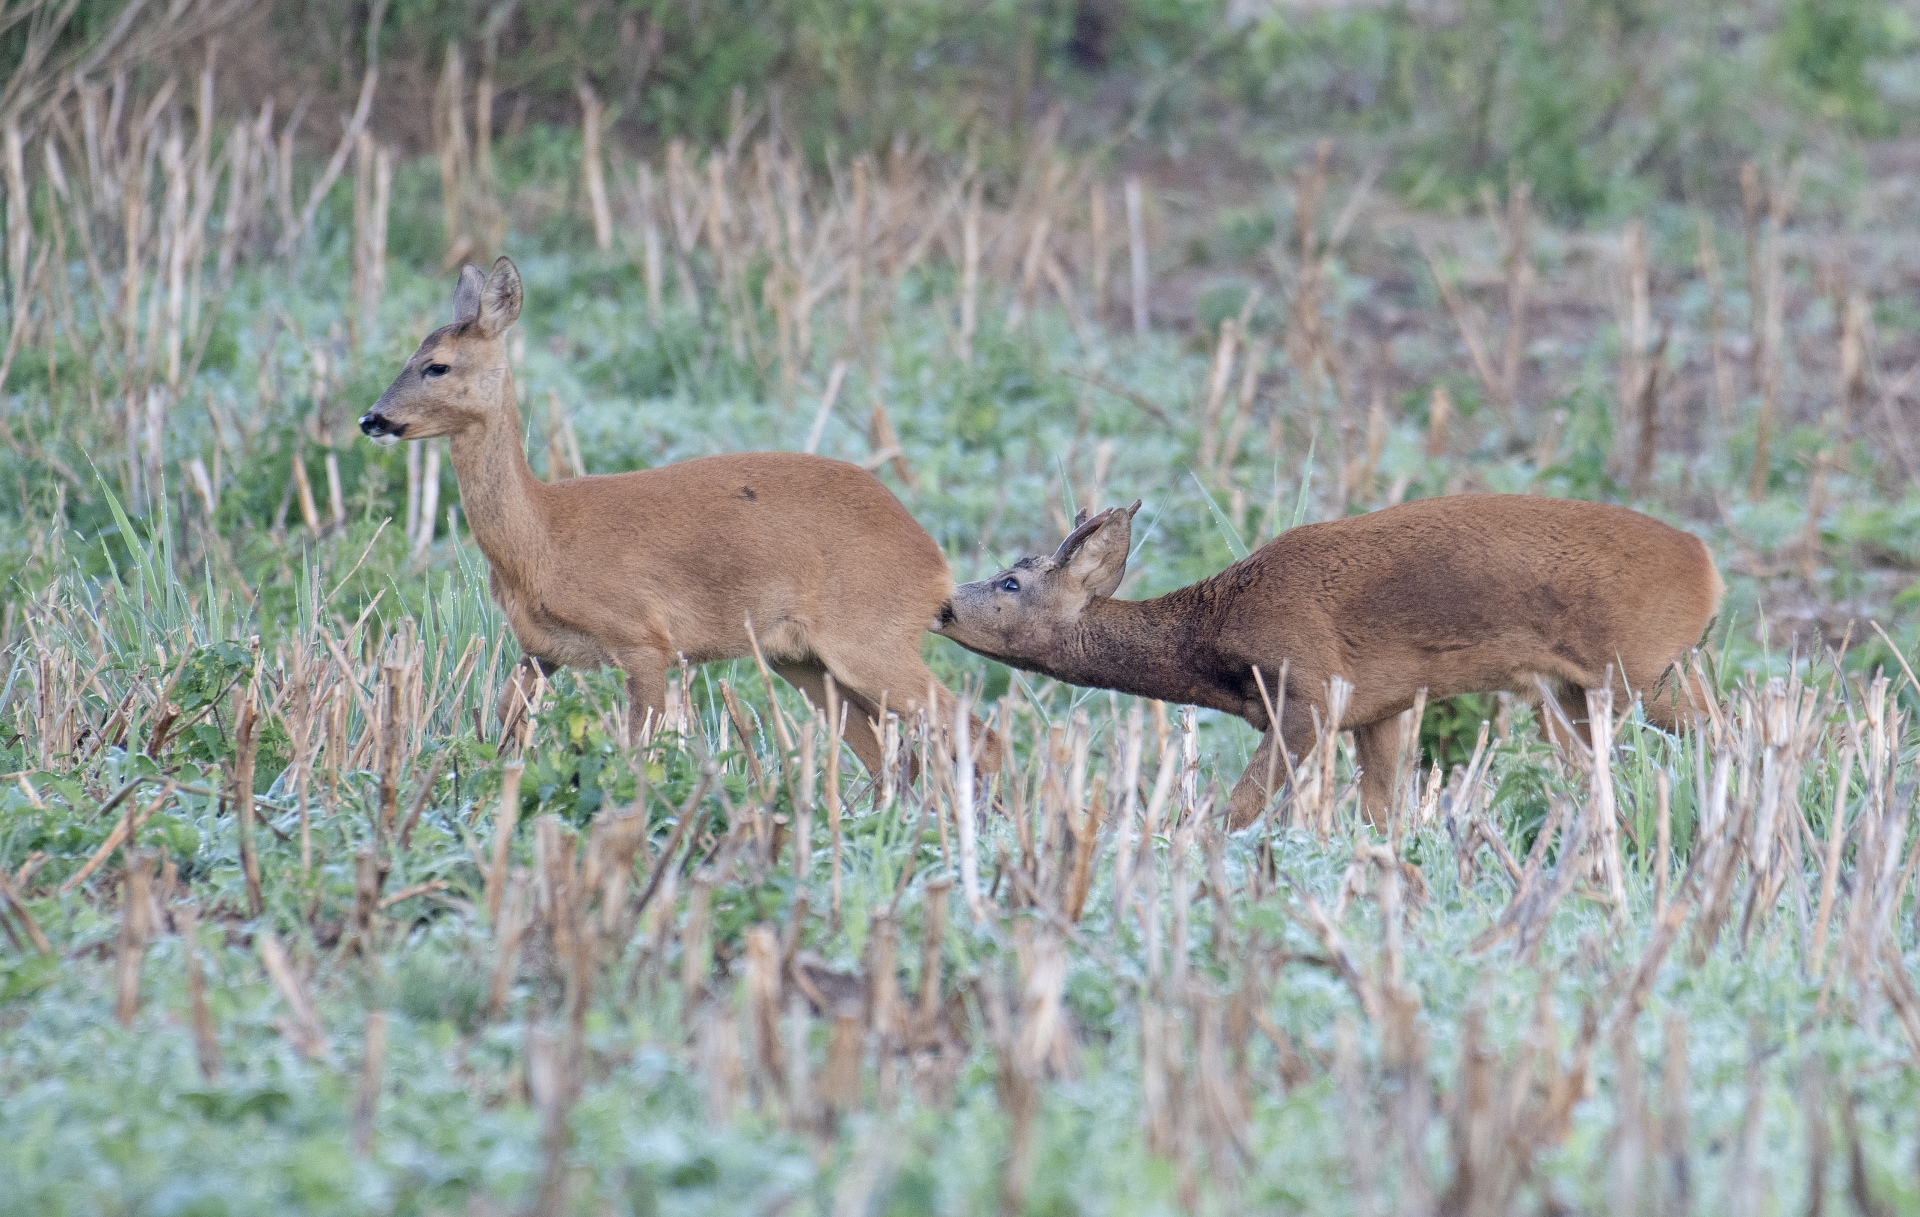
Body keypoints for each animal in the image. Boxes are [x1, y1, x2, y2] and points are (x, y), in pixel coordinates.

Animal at [357, 257, 1006, 775]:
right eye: (411, 355)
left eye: (437, 365)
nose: (371, 418)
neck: (542, 538)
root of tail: (937, 569)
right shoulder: (538, 649)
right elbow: (502, 724)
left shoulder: (645, 639)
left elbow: (638, 746)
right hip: (804, 659)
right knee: (888, 751)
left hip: (869, 637)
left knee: (979, 736)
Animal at [936, 491, 1720, 825]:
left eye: (1011, 582)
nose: (942, 606)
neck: (1217, 636)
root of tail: (1709, 566)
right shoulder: (1377, 707)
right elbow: (1381, 810)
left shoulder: (1309, 687)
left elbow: (1244, 803)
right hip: (1583, 691)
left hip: (1642, 666)